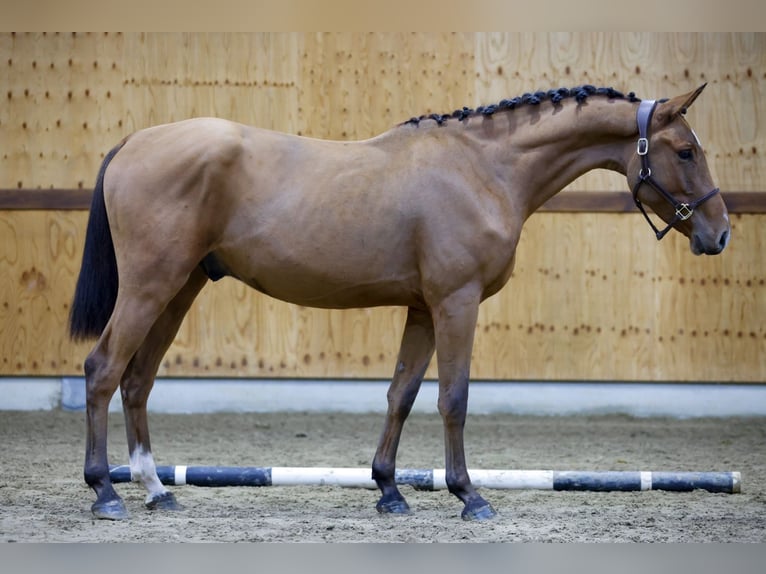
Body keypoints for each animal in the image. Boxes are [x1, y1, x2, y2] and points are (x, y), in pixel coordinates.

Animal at [67, 84, 732, 520]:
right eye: (685, 151)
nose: (720, 233)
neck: (483, 168)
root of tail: (134, 142)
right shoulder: (457, 302)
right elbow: (453, 398)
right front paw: (470, 496)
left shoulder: (422, 308)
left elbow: (402, 394)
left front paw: (389, 490)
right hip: (150, 286)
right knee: (103, 371)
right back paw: (106, 492)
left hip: (179, 289)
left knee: (137, 381)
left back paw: (157, 489)